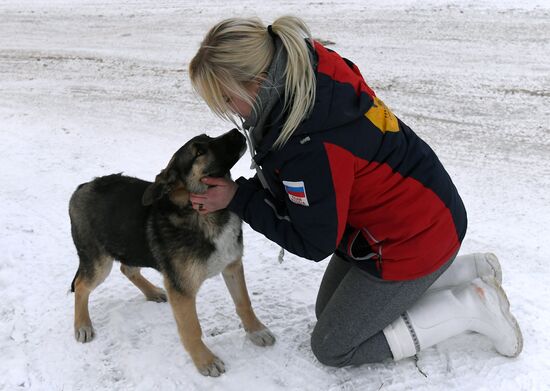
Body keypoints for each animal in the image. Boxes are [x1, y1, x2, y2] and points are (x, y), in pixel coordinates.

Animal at [69, 130, 276, 378]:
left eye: (208, 136)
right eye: (199, 152)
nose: (237, 131)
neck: (204, 214)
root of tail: (82, 186)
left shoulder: (232, 266)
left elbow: (244, 302)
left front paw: (256, 330)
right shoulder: (182, 290)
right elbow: (192, 328)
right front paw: (205, 361)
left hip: (132, 245)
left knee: (127, 268)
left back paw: (152, 292)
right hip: (100, 262)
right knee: (81, 285)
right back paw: (82, 324)